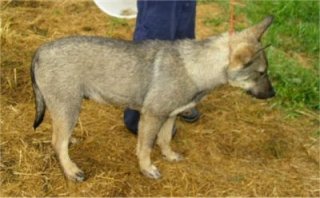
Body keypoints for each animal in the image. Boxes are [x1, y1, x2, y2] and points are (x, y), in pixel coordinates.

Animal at [30, 16, 276, 182]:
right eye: (261, 73)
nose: (273, 94)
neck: (195, 66)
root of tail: (40, 50)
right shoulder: (151, 116)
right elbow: (146, 147)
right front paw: (147, 168)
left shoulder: (170, 115)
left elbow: (165, 140)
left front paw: (169, 156)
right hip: (69, 107)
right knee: (57, 142)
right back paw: (71, 170)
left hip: (67, 109)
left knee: (60, 138)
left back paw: (71, 143)